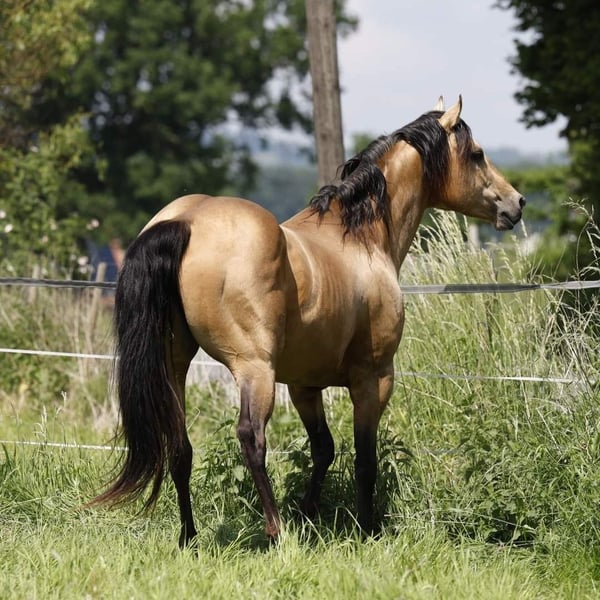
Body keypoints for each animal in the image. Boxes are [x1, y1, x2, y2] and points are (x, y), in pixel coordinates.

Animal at [91, 97, 525, 548]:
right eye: (476, 154)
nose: (516, 204)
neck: (360, 237)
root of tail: (186, 221)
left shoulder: (304, 386)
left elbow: (324, 450)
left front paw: (310, 512)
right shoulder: (373, 379)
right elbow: (364, 459)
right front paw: (366, 528)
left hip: (175, 363)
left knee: (180, 446)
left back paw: (190, 536)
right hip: (254, 369)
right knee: (251, 438)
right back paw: (277, 531)